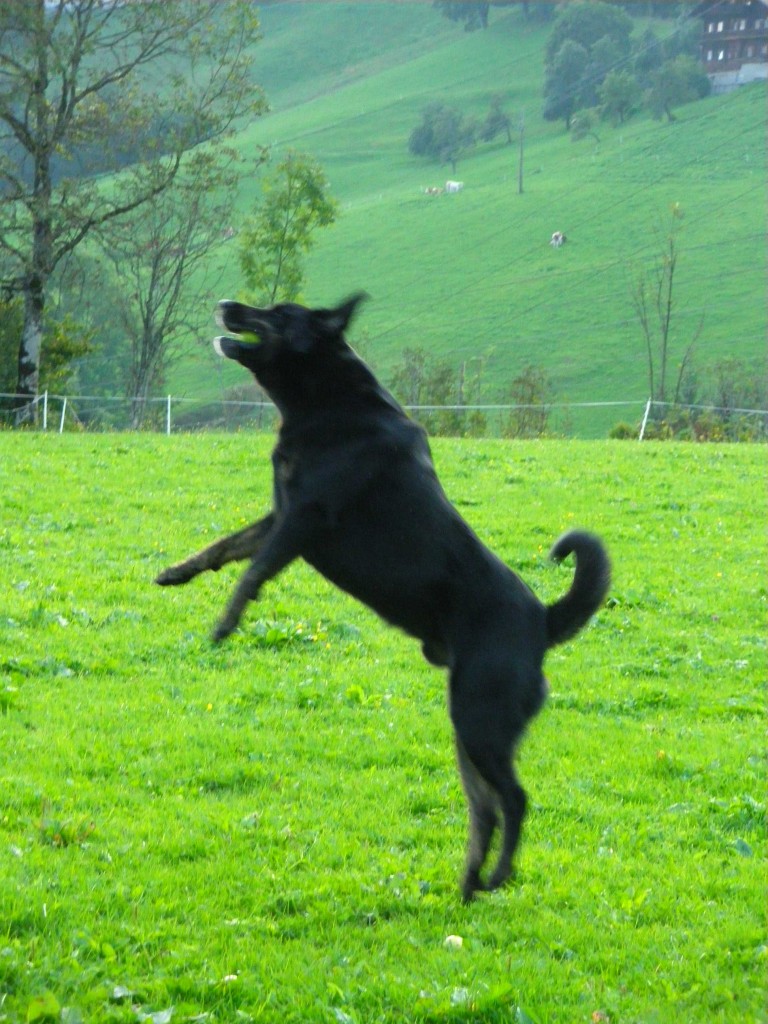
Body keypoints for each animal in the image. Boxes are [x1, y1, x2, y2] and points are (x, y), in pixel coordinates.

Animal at [157, 292, 614, 901]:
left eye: (276, 312)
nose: (226, 302)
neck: (326, 401)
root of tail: (543, 619)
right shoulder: (279, 515)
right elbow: (225, 547)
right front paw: (176, 573)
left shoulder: (304, 520)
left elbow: (252, 572)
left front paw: (226, 624)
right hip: (468, 732)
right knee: (485, 810)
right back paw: (469, 882)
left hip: (480, 720)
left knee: (514, 800)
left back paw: (496, 877)